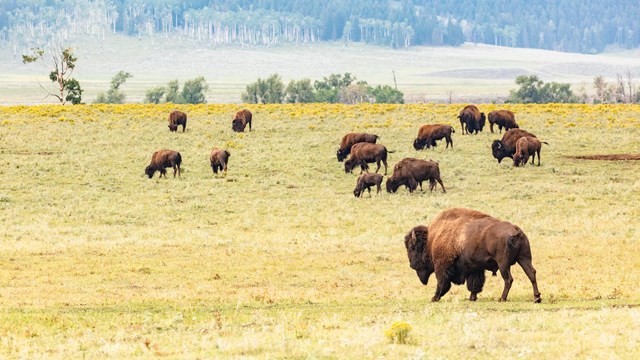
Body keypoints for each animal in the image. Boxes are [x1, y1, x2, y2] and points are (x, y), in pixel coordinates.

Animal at [404, 208, 540, 304]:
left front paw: (434, 298)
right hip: (524, 258)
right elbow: (474, 284)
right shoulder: (475, 268)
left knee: (508, 279)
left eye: (412, 248)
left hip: (503, 264)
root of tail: (516, 230)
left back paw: (502, 298)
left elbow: (442, 282)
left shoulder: (442, 265)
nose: (411, 265)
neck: (431, 239)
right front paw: (472, 297)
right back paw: (537, 298)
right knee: (531, 274)